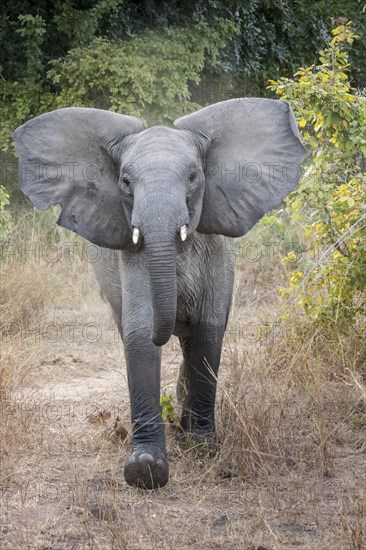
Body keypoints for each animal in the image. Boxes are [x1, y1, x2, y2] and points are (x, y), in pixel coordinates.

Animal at [13, 99, 306, 492]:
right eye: (125, 182)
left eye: (194, 176)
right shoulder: (132, 253)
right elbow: (139, 334)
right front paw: (145, 469)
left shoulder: (215, 249)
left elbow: (208, 330)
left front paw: (200, 446)